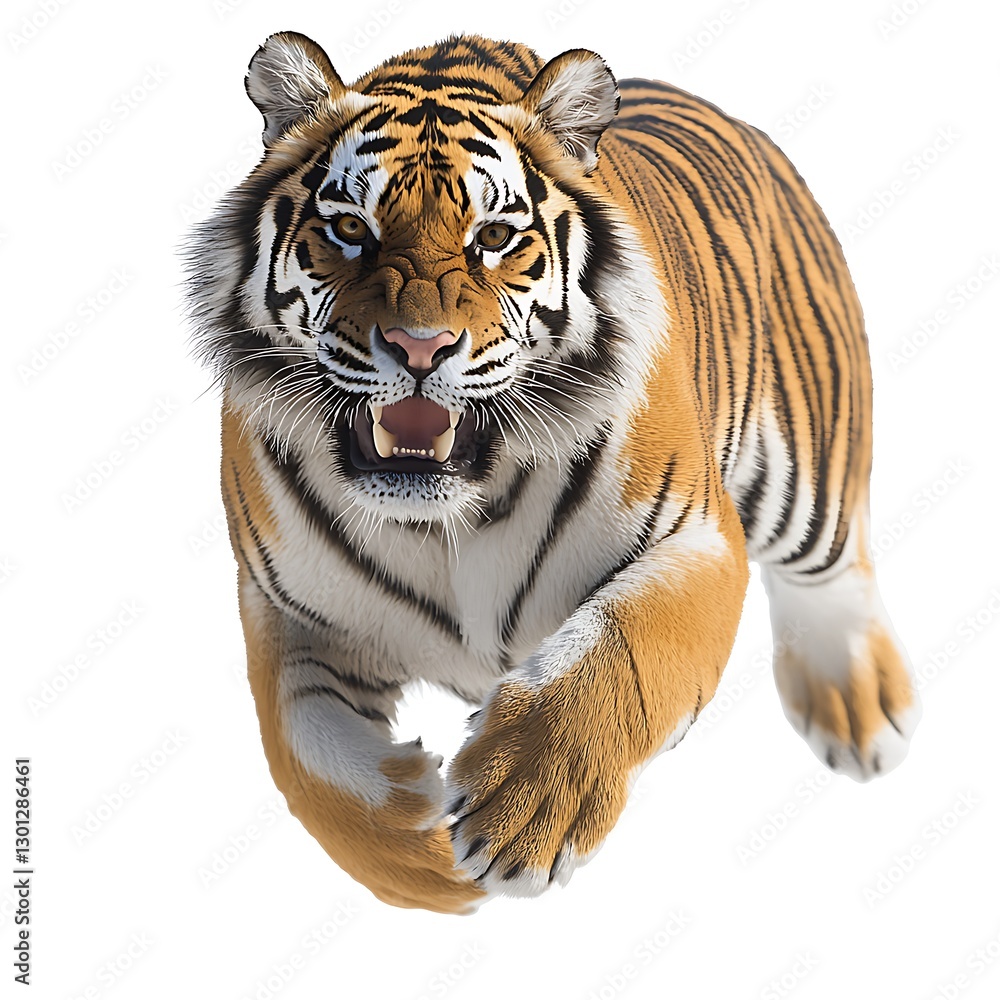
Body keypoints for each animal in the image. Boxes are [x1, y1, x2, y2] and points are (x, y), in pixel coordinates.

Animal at [184, 30, 921, 914]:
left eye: (495, 238)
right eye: (351, 229)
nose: (421, 346)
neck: (445, 517)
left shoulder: (696, 536)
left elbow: (623, 651)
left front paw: (519, 807)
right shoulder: (284, 610)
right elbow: (305, 755)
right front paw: (423, 848)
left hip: (808, 462)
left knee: (836, 567)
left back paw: (858, 709)